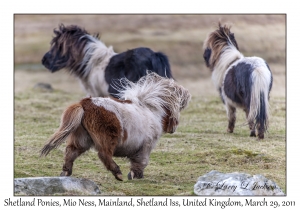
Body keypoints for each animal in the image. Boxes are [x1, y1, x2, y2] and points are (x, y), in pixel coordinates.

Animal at [40, 72, 190, 180]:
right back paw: (118, 173)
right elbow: (141, 161)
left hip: (81, 139)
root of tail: (84, 104)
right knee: (104, 154)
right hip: (107, 138)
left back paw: (66, 172)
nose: (174, 129)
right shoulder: (146, 146)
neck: (151, 110)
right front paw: (135, 175)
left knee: (71, 153)